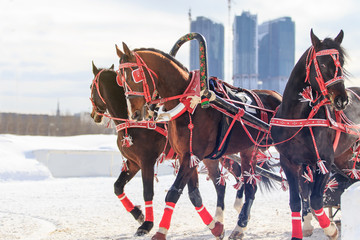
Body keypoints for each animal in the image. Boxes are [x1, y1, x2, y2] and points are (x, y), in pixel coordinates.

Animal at [88, 61, 262, 236]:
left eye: (91, 86)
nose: (93, 115)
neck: (134, 124)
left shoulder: (147, 161)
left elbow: (148, 191)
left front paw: (146, 224)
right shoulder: (133, 163)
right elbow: (117, 187)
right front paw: (138, 214)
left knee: (238, 175)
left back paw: (240, 208)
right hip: (215, 156)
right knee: (225, 182)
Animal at [114, 43, 282, 240]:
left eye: (135, 74)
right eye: (119, 78)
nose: (134, 114)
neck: (189, 105)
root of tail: (278, 95)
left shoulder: (187, 156)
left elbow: (173, 193)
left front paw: (160, 231)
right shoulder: (185, 156)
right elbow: (194, 194)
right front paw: (216, 227)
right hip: (245, 151)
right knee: (245, 186)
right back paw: (238, 224)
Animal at [270, 30, 360, 240]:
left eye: (341, 62)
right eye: (323, 64)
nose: (342, 100)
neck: (298, 119)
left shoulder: (325, 160)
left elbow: (316, 200)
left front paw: (331, 229)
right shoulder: (289, 161)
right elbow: (297, 200)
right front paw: (300, 231)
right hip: (345, 158)